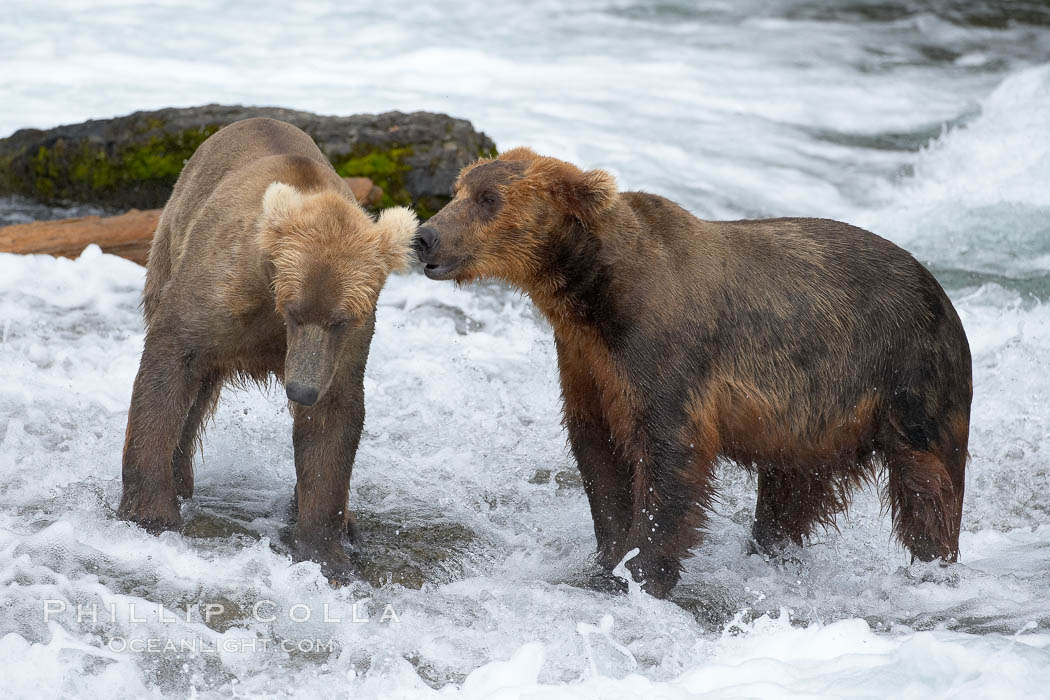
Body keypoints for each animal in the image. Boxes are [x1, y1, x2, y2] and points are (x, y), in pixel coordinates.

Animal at [120, 117, 417, 583]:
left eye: (340, 319)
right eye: (294, 311)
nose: (301, 390)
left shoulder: (343, 347)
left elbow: (332, 423)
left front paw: (326, 549)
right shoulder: (221, 294)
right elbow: (169, 367)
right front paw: (150, 512)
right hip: (170, 240)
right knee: (195, 394)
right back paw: (179, 480)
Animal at [413, 146, 970, 596]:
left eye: (489, 197)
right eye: (459, 189)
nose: (425, 236)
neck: (593, 296)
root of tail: (939, 288)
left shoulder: (661, 350)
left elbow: (668, 452)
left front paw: (641, 571)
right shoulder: (586, 363)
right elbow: (598, 452)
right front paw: (607, 558)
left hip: (909, 375)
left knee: (928, 484)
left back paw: (930, 563)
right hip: (811, 421)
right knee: (791, 490)